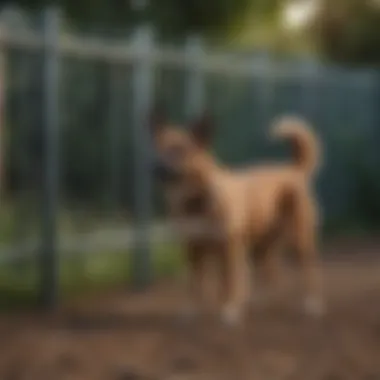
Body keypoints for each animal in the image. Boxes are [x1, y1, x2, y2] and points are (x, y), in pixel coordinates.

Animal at [151, 108, 324, 326]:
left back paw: (312, 304)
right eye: (157, 147)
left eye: (180, 150)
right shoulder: (193, 249)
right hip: (262, 247)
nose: (154, 167)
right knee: (274, 276)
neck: (197, 200)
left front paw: (230, 309)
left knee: (311, 271)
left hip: (299, 241)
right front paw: (191, 312)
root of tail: (293, 170)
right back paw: (262, 302)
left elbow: (231, 282)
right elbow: (195, 286)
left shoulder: (229, 247)